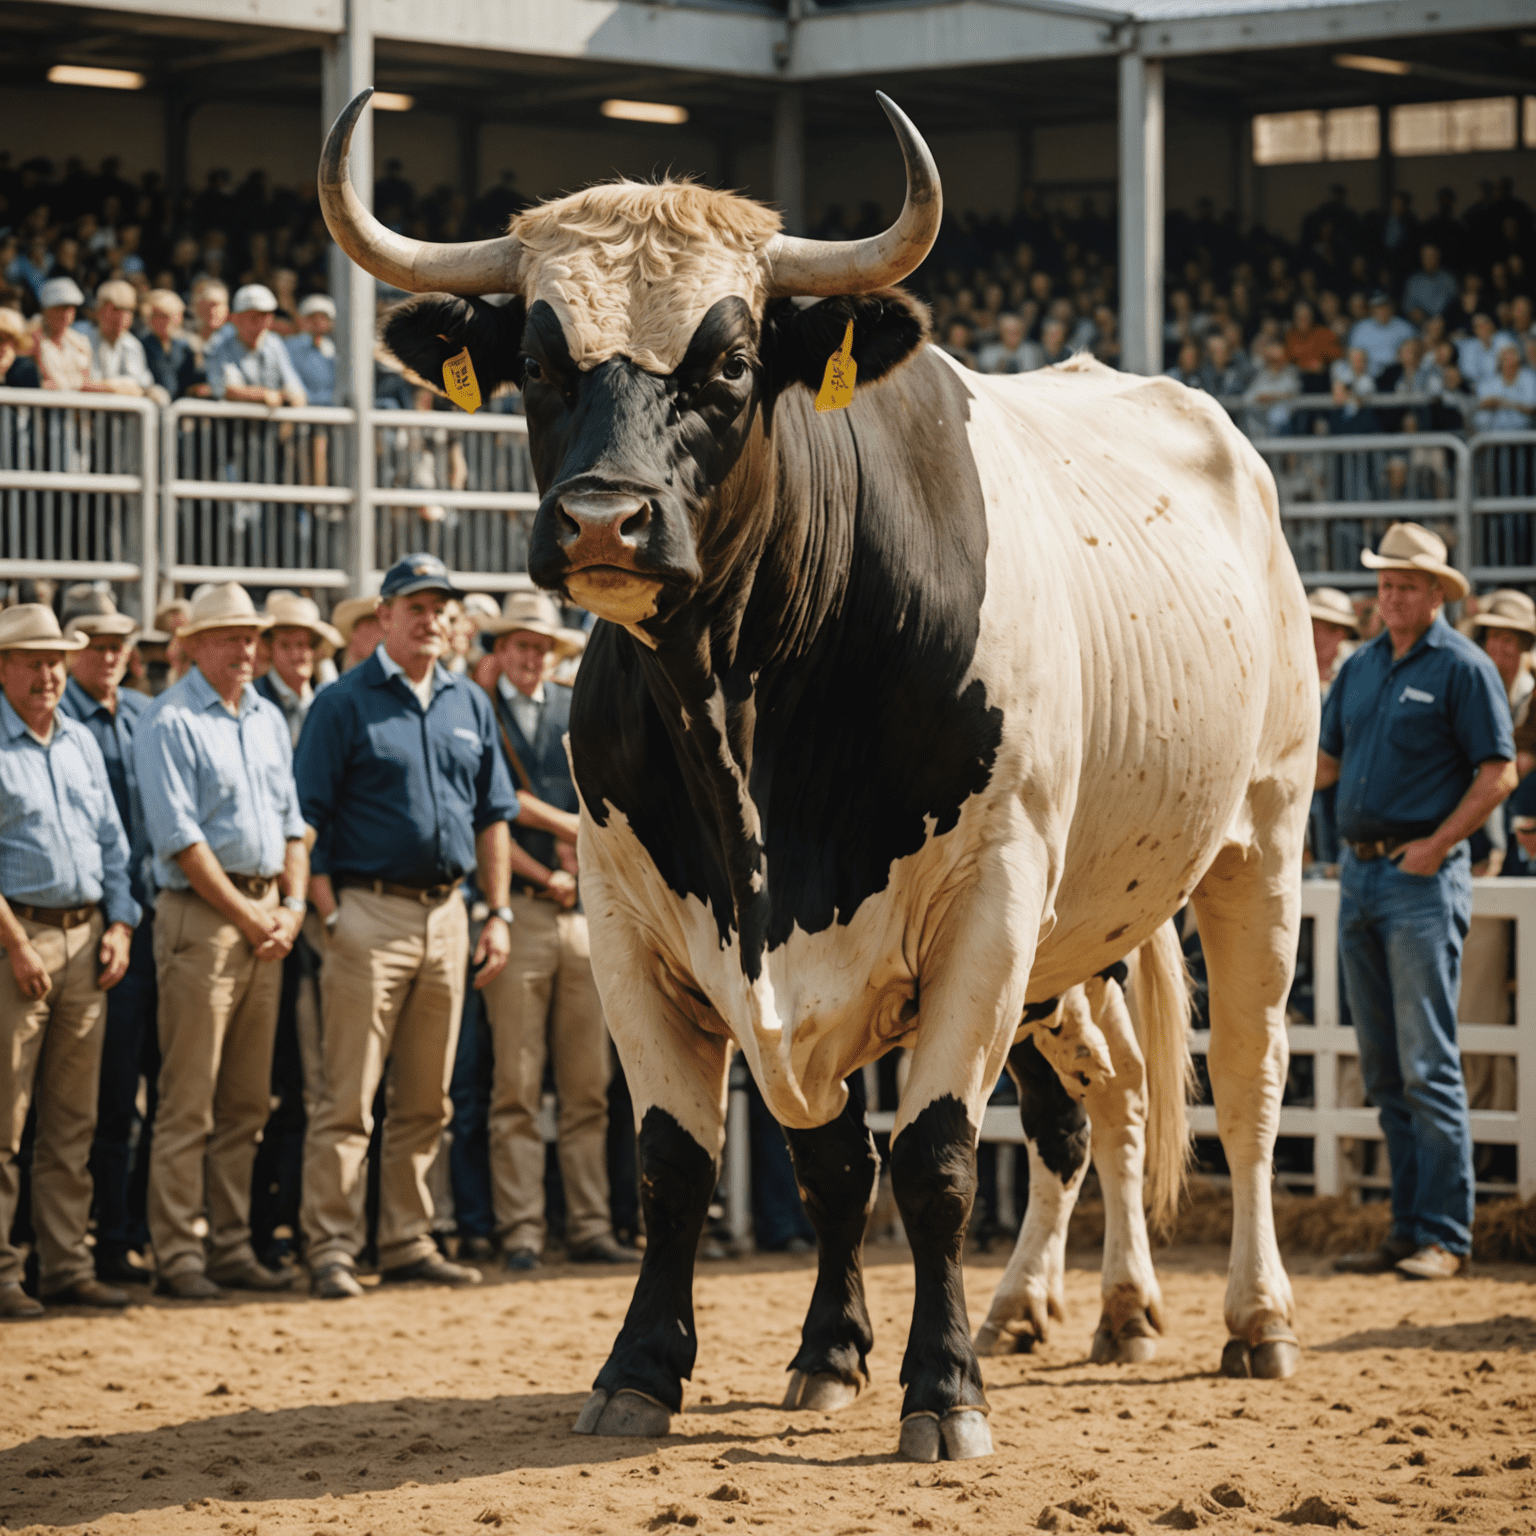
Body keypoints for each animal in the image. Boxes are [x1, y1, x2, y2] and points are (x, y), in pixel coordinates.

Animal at [321, 87, 1320, 1462]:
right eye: (536, 361)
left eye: (731, 364)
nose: (602, 520)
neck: (749, 716)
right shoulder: (643, 923)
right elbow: (725, 1163)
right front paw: (727, 1362)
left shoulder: (987, 902)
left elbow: (933, 1160)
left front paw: (940, 1390)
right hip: (1074, 948)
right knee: (1101, 1104)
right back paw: (1088, 1308)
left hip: (1255, 847)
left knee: (1248, 1082)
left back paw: (1252, 1319)